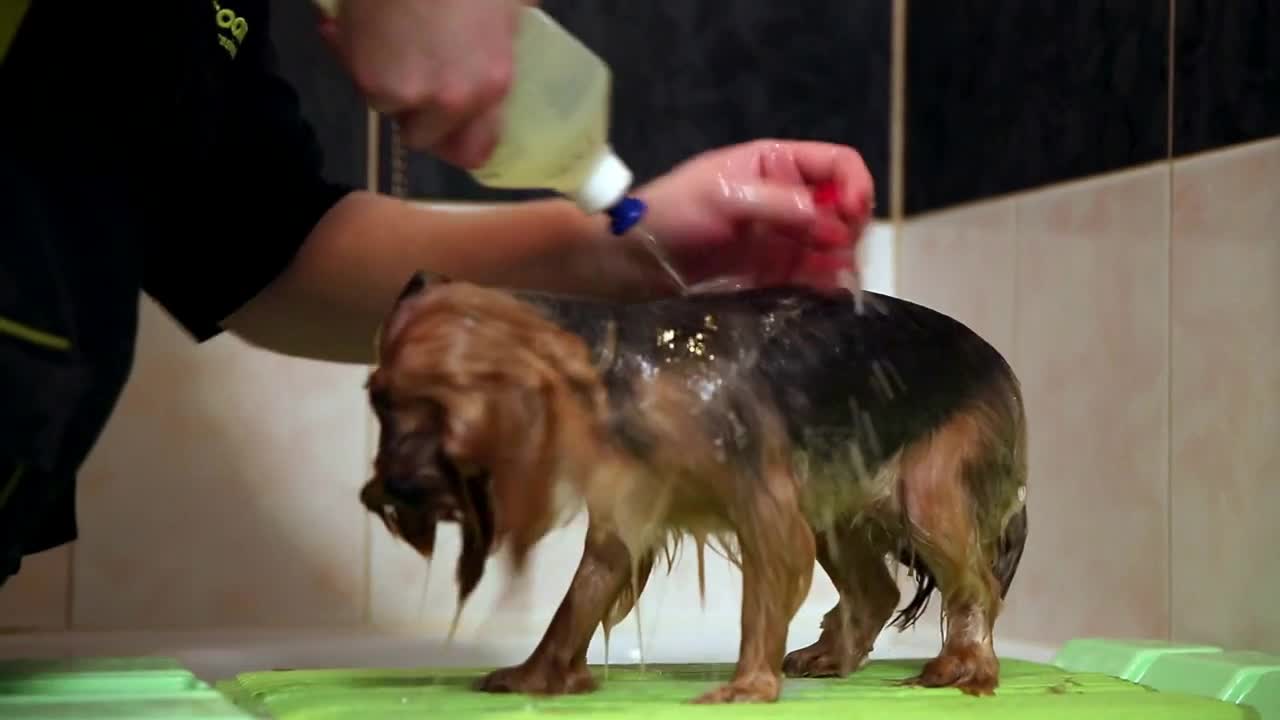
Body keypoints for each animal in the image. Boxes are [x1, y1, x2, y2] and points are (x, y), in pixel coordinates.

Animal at [360, 272, 1029, 702]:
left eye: (449, 411)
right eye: (379, 401)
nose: (385, 491)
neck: (611, 373)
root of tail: (1003, 363)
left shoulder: (763, 504)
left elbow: (761, 602)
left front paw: (748, 686)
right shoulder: (627, 513)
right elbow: (579, 599)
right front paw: (537, 676)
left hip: (929, 492)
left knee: (976, 584)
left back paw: (963, 664)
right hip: (834, 502)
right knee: (875, 590)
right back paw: (833, 657)